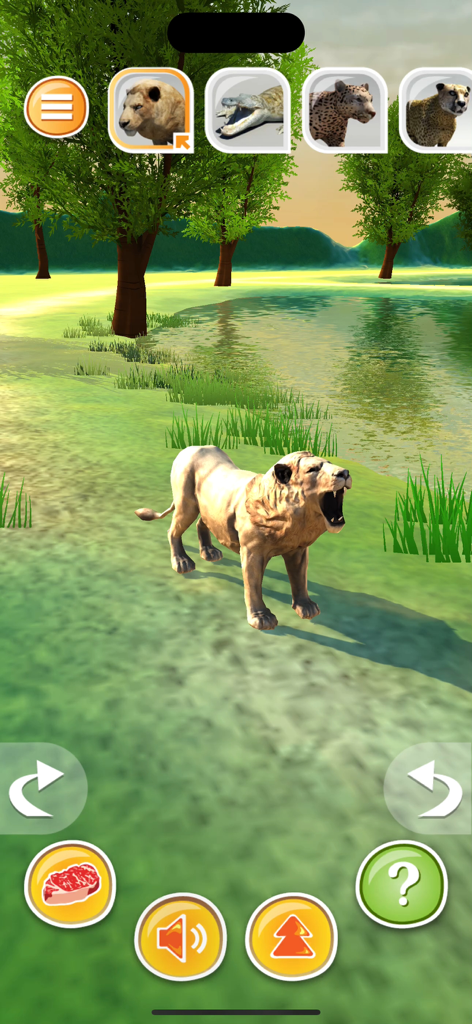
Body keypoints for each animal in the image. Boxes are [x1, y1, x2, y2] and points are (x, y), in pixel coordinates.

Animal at [135, 446, 352, 631]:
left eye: (329, 463)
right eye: (313, 469)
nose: (345, 473)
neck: (293, 518)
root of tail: (188, 448)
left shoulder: (297, 550)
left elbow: (299, 578)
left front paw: (306, 607)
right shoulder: (252, 552)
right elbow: (253, 585)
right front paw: (261, 618)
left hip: (210, 509)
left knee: (201, 524)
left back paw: (209, 552)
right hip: (186, 504)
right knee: (172, 531)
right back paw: (181, 562)